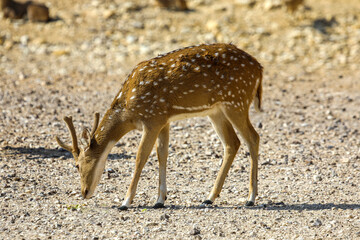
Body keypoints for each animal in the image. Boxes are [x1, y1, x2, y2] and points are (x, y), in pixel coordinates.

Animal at [54, 43, 262, 210]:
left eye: (77, 165)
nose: (84, 192)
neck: (128, 110)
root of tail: (259, 68)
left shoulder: (152, 119)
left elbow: (141, 157)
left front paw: (125, 202)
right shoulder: (164, 120)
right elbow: (162, 154)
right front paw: (160, 200)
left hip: (236, 101)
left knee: (253, 137)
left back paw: (250, 198)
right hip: (216, 110)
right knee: (232, 143)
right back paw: (209, 197)